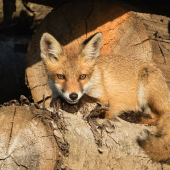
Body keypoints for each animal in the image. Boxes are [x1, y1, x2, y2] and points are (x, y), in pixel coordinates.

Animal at [40, 32, 170, 162]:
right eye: (61, 76)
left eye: (82, 76)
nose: (73, 96)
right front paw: (59, 103)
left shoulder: (106, 105)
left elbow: (87, 98)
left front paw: (71, 105)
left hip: (146, 80)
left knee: (156, 117)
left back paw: (131, 116)